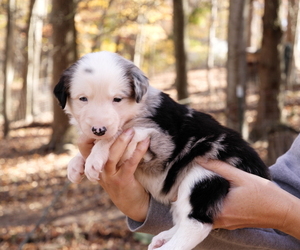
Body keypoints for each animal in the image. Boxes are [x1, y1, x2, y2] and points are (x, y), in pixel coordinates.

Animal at [54, 51, 270, 250]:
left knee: (198, 224)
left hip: (203, 175)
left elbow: (116, 135)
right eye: (83, 99)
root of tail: (262, 174)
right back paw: (163, 237)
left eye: (117, 99)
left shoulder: (157, 139)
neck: (135, 111)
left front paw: (94, 159)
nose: (99, 130)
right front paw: (75, 164)